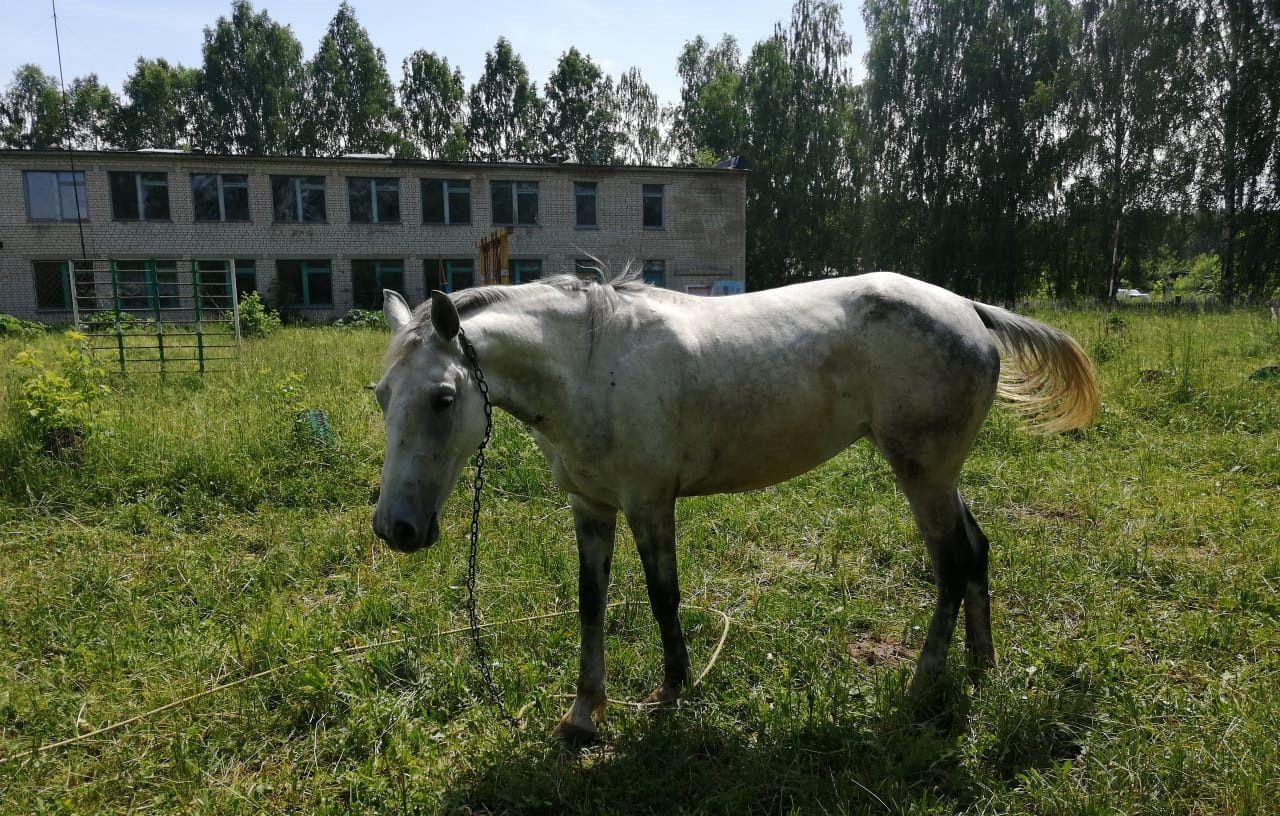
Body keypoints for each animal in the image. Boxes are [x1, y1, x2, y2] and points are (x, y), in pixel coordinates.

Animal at [371, 271, 1100, 746]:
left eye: (442, 397)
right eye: (382, 395)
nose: (395, 528)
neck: (590, 365)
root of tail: (969, 310)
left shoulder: (649, 503)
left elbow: (663, 598)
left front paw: (673, 692)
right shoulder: (591, 507)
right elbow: (590, 604)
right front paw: (584, 715)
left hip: (922, 477)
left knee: (950, 565)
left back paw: (923, 683)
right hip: (943, 478)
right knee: (975, 552)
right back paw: (980, 667)